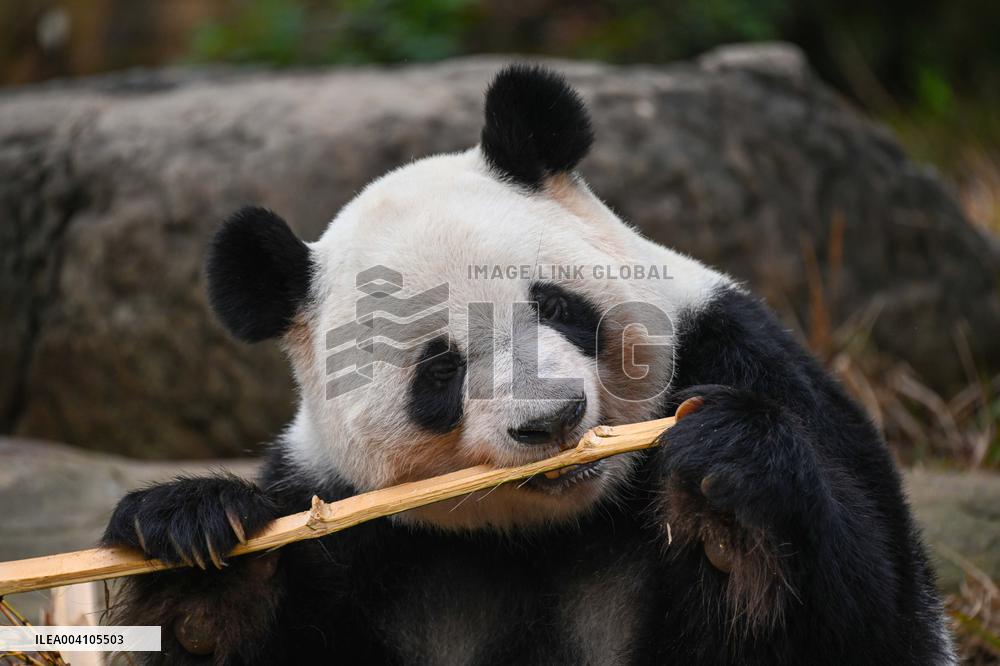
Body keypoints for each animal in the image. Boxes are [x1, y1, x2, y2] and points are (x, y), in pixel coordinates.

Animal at [103, 64, 954, 665]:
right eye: (440, 373)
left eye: (557, 306)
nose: (553, 420)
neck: (550, 528)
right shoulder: (337, 510)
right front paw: (198, 550)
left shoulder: (746, 355)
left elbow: (877, 624)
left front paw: (729, 498)